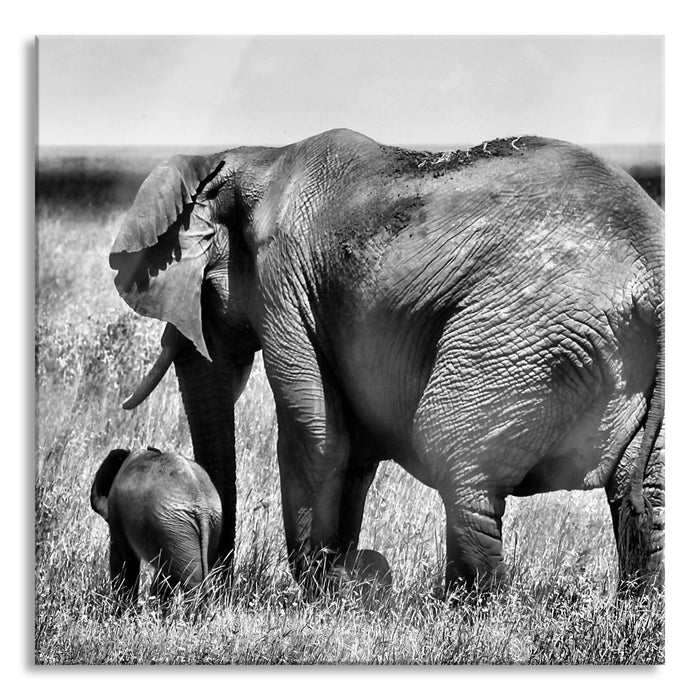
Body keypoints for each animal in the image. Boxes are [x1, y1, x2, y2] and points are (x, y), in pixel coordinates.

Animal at [90, 448, 221, 608]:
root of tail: (201, 505)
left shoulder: (116, 512)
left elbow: (124, 559)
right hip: (198, 525)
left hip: (174, 526)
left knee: (191, 582)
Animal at [106, 130, 664, 596]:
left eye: (201, 290)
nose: (217, 585)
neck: (251, 156)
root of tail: (651, 261)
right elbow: (353, 448)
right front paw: (337, 580)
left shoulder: (282, 284)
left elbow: (316, 432)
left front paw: (321, 592)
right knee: (646, 488)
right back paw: (634, 612)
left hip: (520, 330)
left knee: (452, 450)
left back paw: (467, 612)